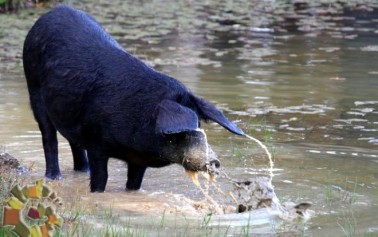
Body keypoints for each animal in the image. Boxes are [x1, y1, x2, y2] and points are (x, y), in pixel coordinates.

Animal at [22, 5, 244, 192]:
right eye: (182, 132)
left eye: (200, 124)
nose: (214, 161)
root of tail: (51, 12)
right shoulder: (96, 143)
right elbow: (100, 179)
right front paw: (96, 192)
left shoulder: (138, 159)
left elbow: (134, 184)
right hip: (34, 89)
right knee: (49, 138)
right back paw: (54, 177)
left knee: (73, 142)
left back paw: (82, 171)